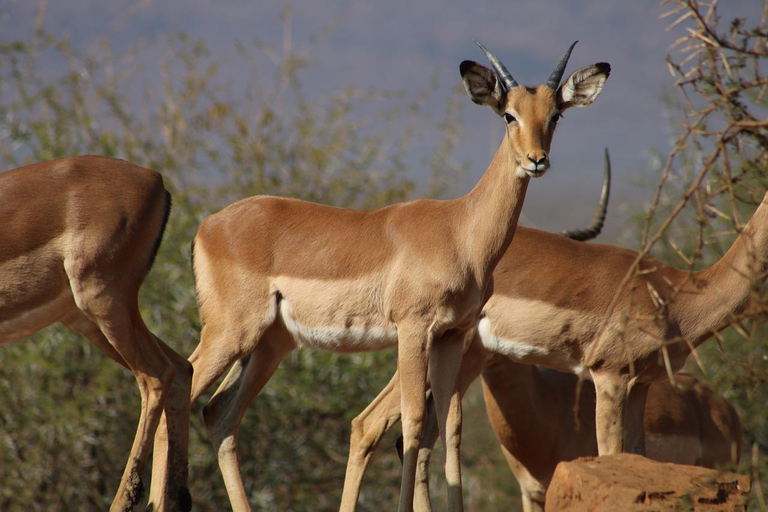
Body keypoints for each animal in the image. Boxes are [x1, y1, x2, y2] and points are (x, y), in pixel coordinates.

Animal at [0, 157, 194, 512]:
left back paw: (124, 501)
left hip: (102, 301)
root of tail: (155, 180)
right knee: (182, 369)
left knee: (157, 376)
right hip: (89, 318)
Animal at [172, 42, 608, 510]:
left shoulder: (451, 335)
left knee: (218, 413)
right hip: (231, 332)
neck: (461, 230)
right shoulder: (413, 329)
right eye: (508, 114)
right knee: (175, 384)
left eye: (555, 114)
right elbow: (414, 422)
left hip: (270, 343)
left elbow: (449, 428)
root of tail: (208, 224)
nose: (536, 160)